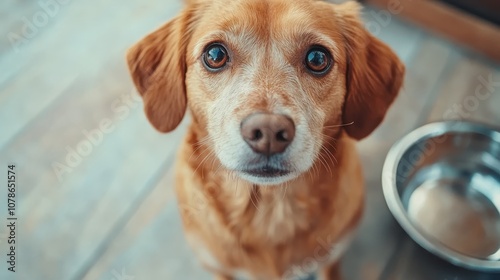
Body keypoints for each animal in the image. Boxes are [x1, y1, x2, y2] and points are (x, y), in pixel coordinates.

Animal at [127, 0, 404, 278]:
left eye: (317, 58)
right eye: (215, 55)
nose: (269, 132)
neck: (271, 208)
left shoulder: (332, 258)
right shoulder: (218, 267)